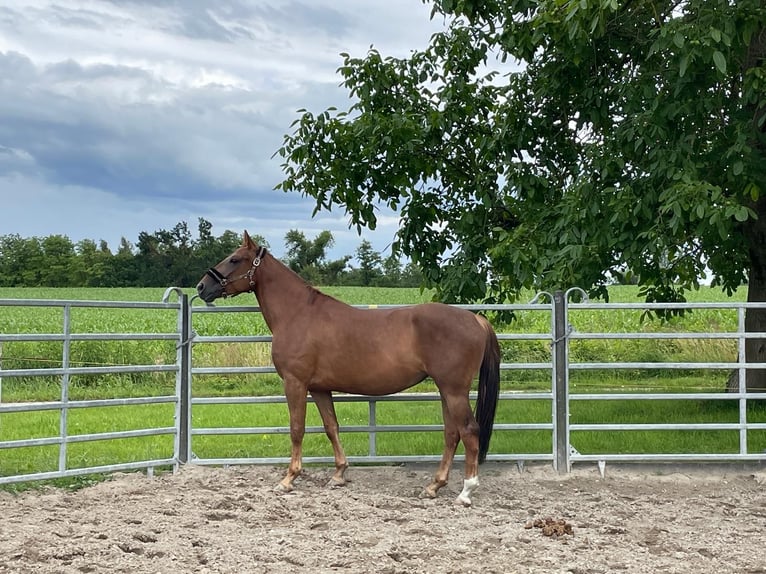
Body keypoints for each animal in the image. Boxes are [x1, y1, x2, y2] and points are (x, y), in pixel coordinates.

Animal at [196, 231, 501, 506]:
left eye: (235, 259)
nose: (201, 287)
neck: (298, 314)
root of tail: (475, 319)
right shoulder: (319, 388)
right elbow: (331, 426)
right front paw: (339, 475)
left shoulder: (295, 383)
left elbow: (297, 428)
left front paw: (289, 479)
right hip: (445, 390)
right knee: (451, 433)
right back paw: (434, 486)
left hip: (454, 390)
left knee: (469, 431)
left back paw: (466, 492)